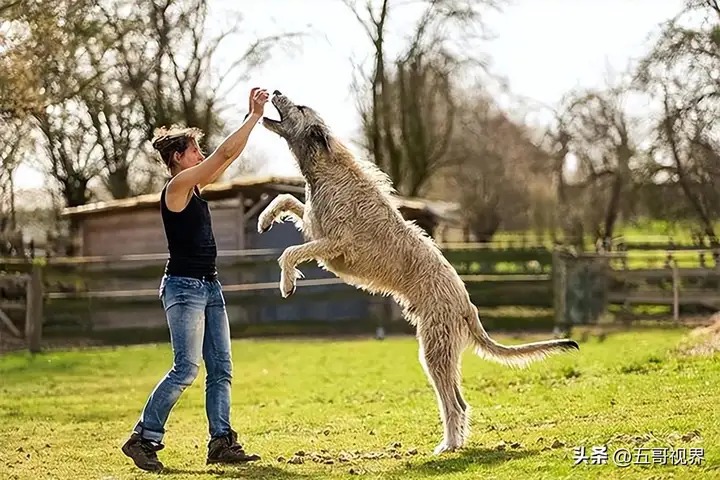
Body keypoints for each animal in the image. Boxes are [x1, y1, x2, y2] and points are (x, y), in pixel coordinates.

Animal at [258, 90, 580, 454]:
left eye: (299, 108)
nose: (275, 91)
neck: (325, 168)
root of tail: (467, 304)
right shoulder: (315, 227)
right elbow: (287, 200)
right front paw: (265, 219)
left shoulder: (336, 244)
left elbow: (290, 252)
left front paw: (286, 283)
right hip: (439, 349)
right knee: (459, 402)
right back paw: (454, 442)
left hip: (434, 349)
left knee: (454, 404)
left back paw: (449, 445)